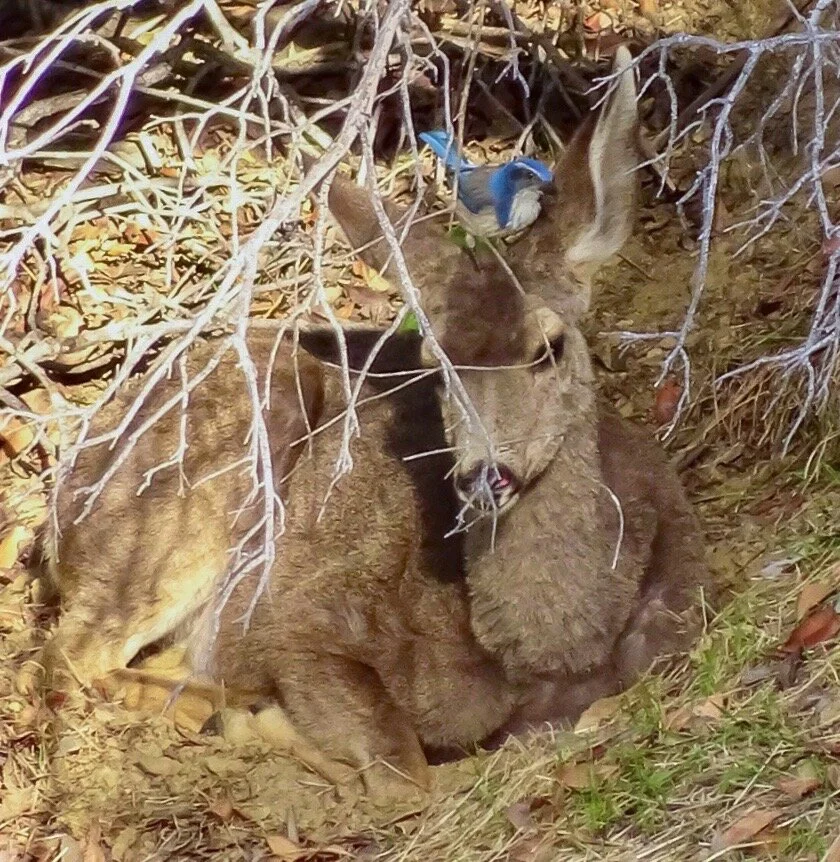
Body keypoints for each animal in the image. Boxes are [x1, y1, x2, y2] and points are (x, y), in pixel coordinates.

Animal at [23, 47, 709, 801]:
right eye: (436, 364)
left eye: (548, 347)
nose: (484, 474)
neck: (539, 656)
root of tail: (57, 516)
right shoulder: (298, 619)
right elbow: (405, 771)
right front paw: (273, 726)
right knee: (65, 659)